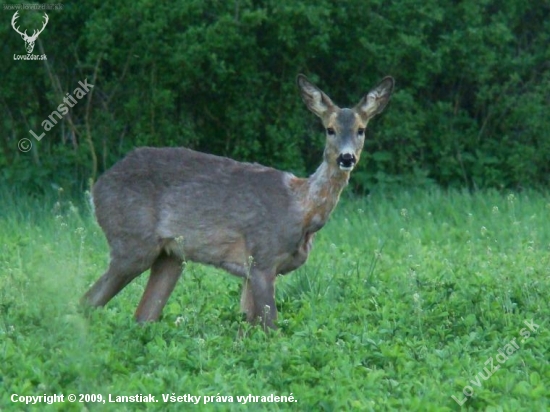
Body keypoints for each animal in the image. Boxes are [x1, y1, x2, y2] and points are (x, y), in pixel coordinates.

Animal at [82, 74, 394, 330]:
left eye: (361, 129)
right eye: (329, 129)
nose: (346, 157)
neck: (301, 209)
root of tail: (97, 188)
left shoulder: (250, 272)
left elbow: (246, 324)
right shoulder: (262, 258)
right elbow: (270, 327)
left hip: (171, 256)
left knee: (142, 315)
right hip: (132, 242)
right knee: (88, 300)